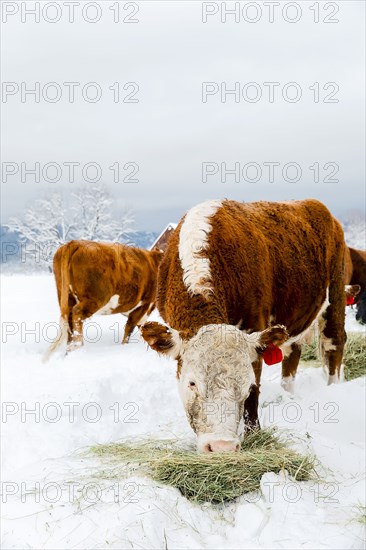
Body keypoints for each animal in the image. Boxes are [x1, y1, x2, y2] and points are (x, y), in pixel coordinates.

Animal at [142, 198, 348, 452]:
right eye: (192, 383)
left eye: (247, 385)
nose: (221, 446)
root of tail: (314, 203)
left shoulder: (254, 329)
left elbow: (254, 398)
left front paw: (253, 434)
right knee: (292, 353)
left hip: (336, 292)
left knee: (333, 343)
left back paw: (333, 391)